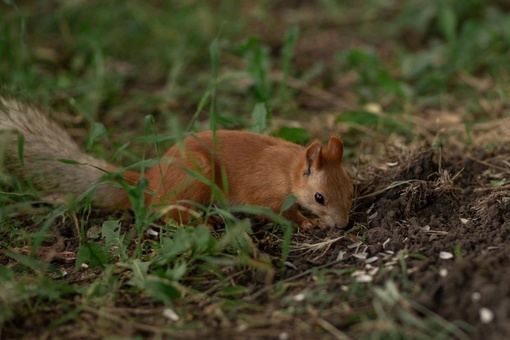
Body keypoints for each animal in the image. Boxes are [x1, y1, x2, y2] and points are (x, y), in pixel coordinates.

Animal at [0, 96, 352, 228]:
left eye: (351, 191)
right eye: (319, 197)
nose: (343, 225)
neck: (287, 169)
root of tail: (150, 187)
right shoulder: (265, 193)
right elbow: (281, 212)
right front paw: (307, 222)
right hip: (196, 177)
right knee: (169, 215)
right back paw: (201, 224)